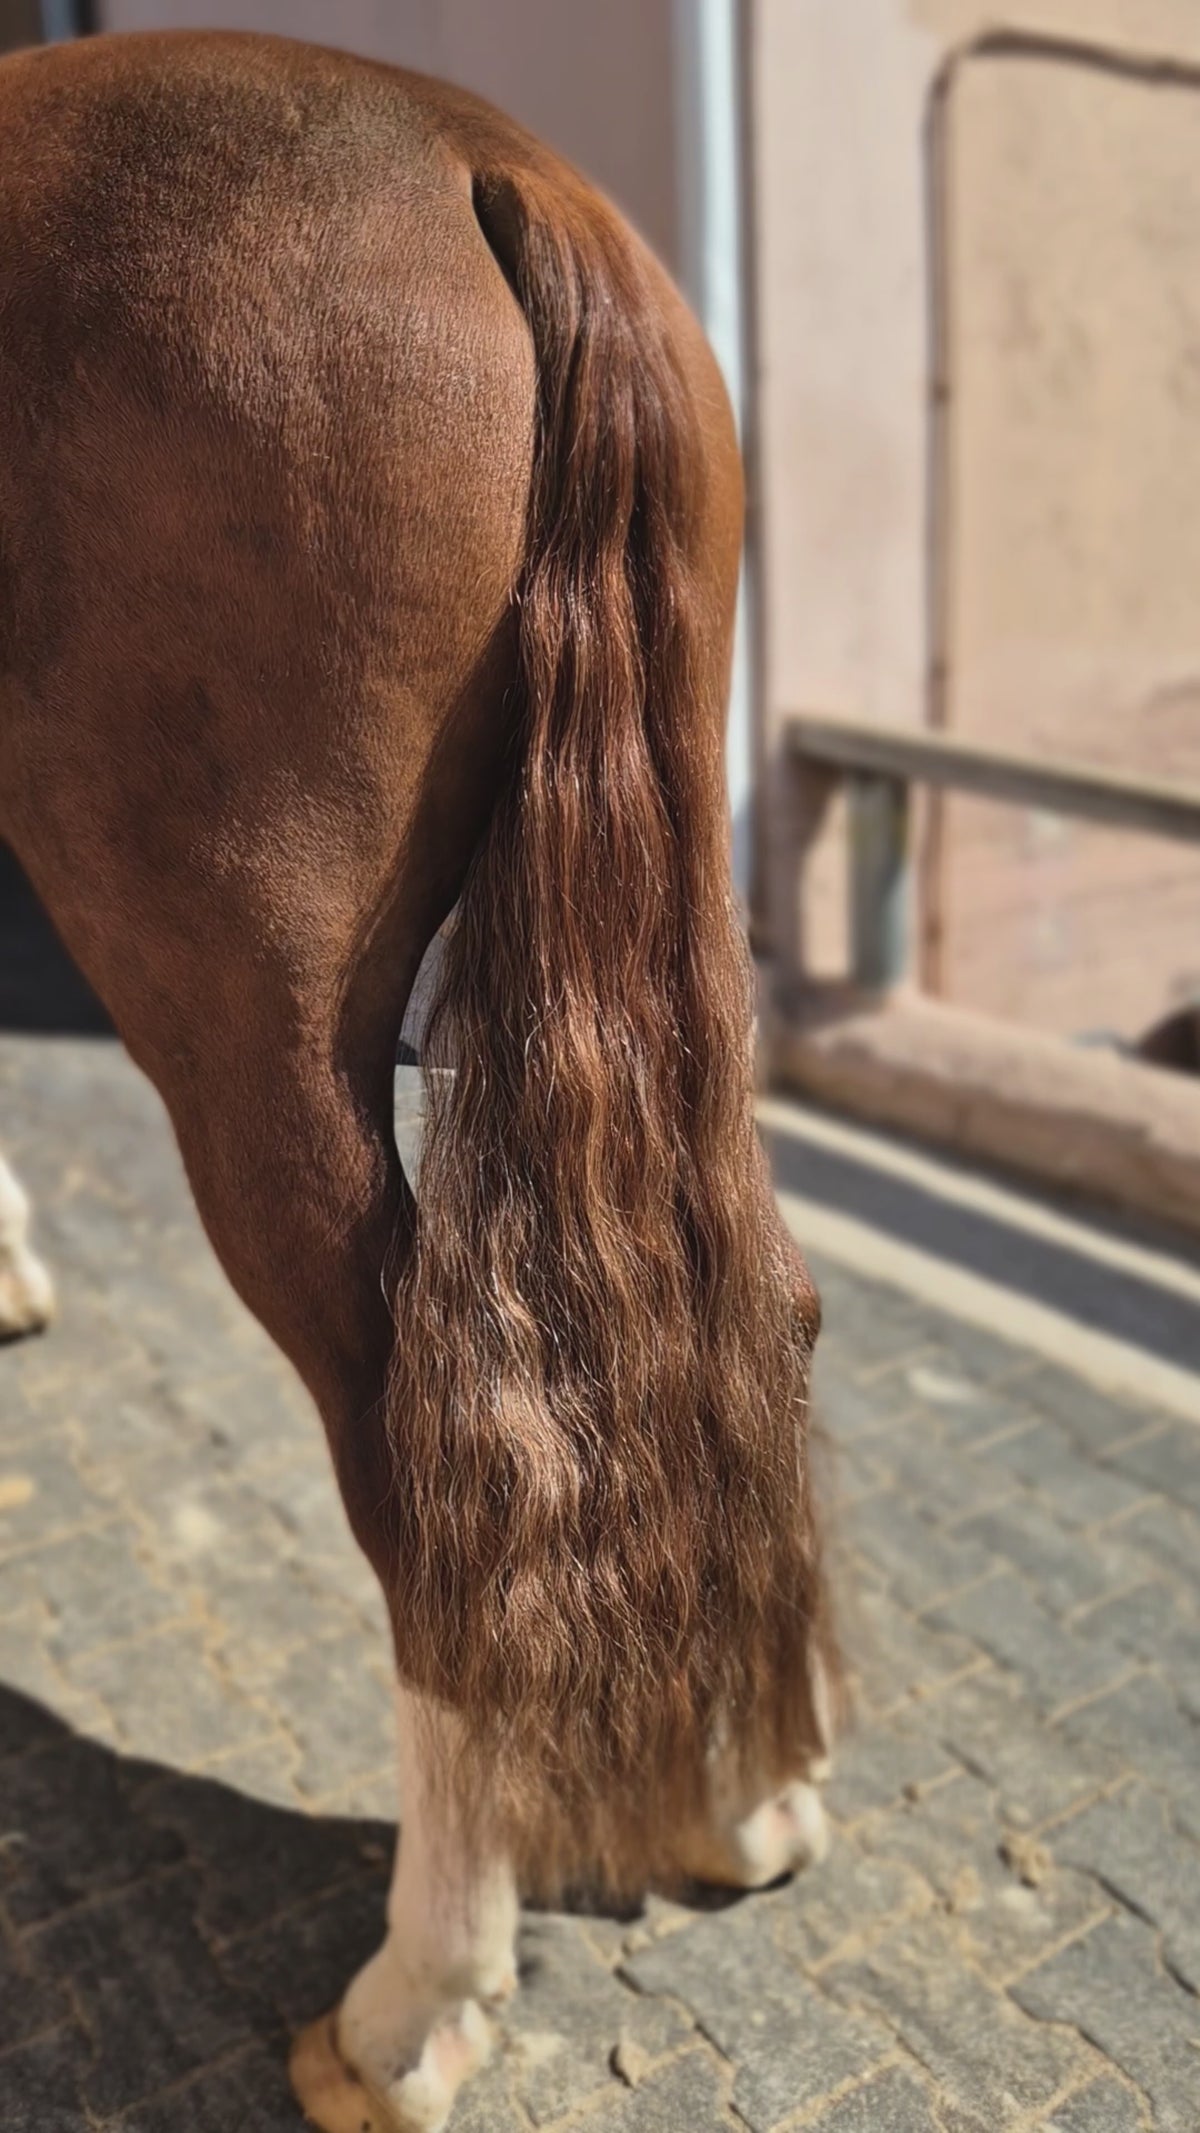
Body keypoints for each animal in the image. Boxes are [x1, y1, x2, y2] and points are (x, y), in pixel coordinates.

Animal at [0, 30, 834, 2131]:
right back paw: (745, 1789)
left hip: (247, 1018)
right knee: (735, 1322)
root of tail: (486, 169)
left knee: (434, 1435)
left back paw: (421, 1989)